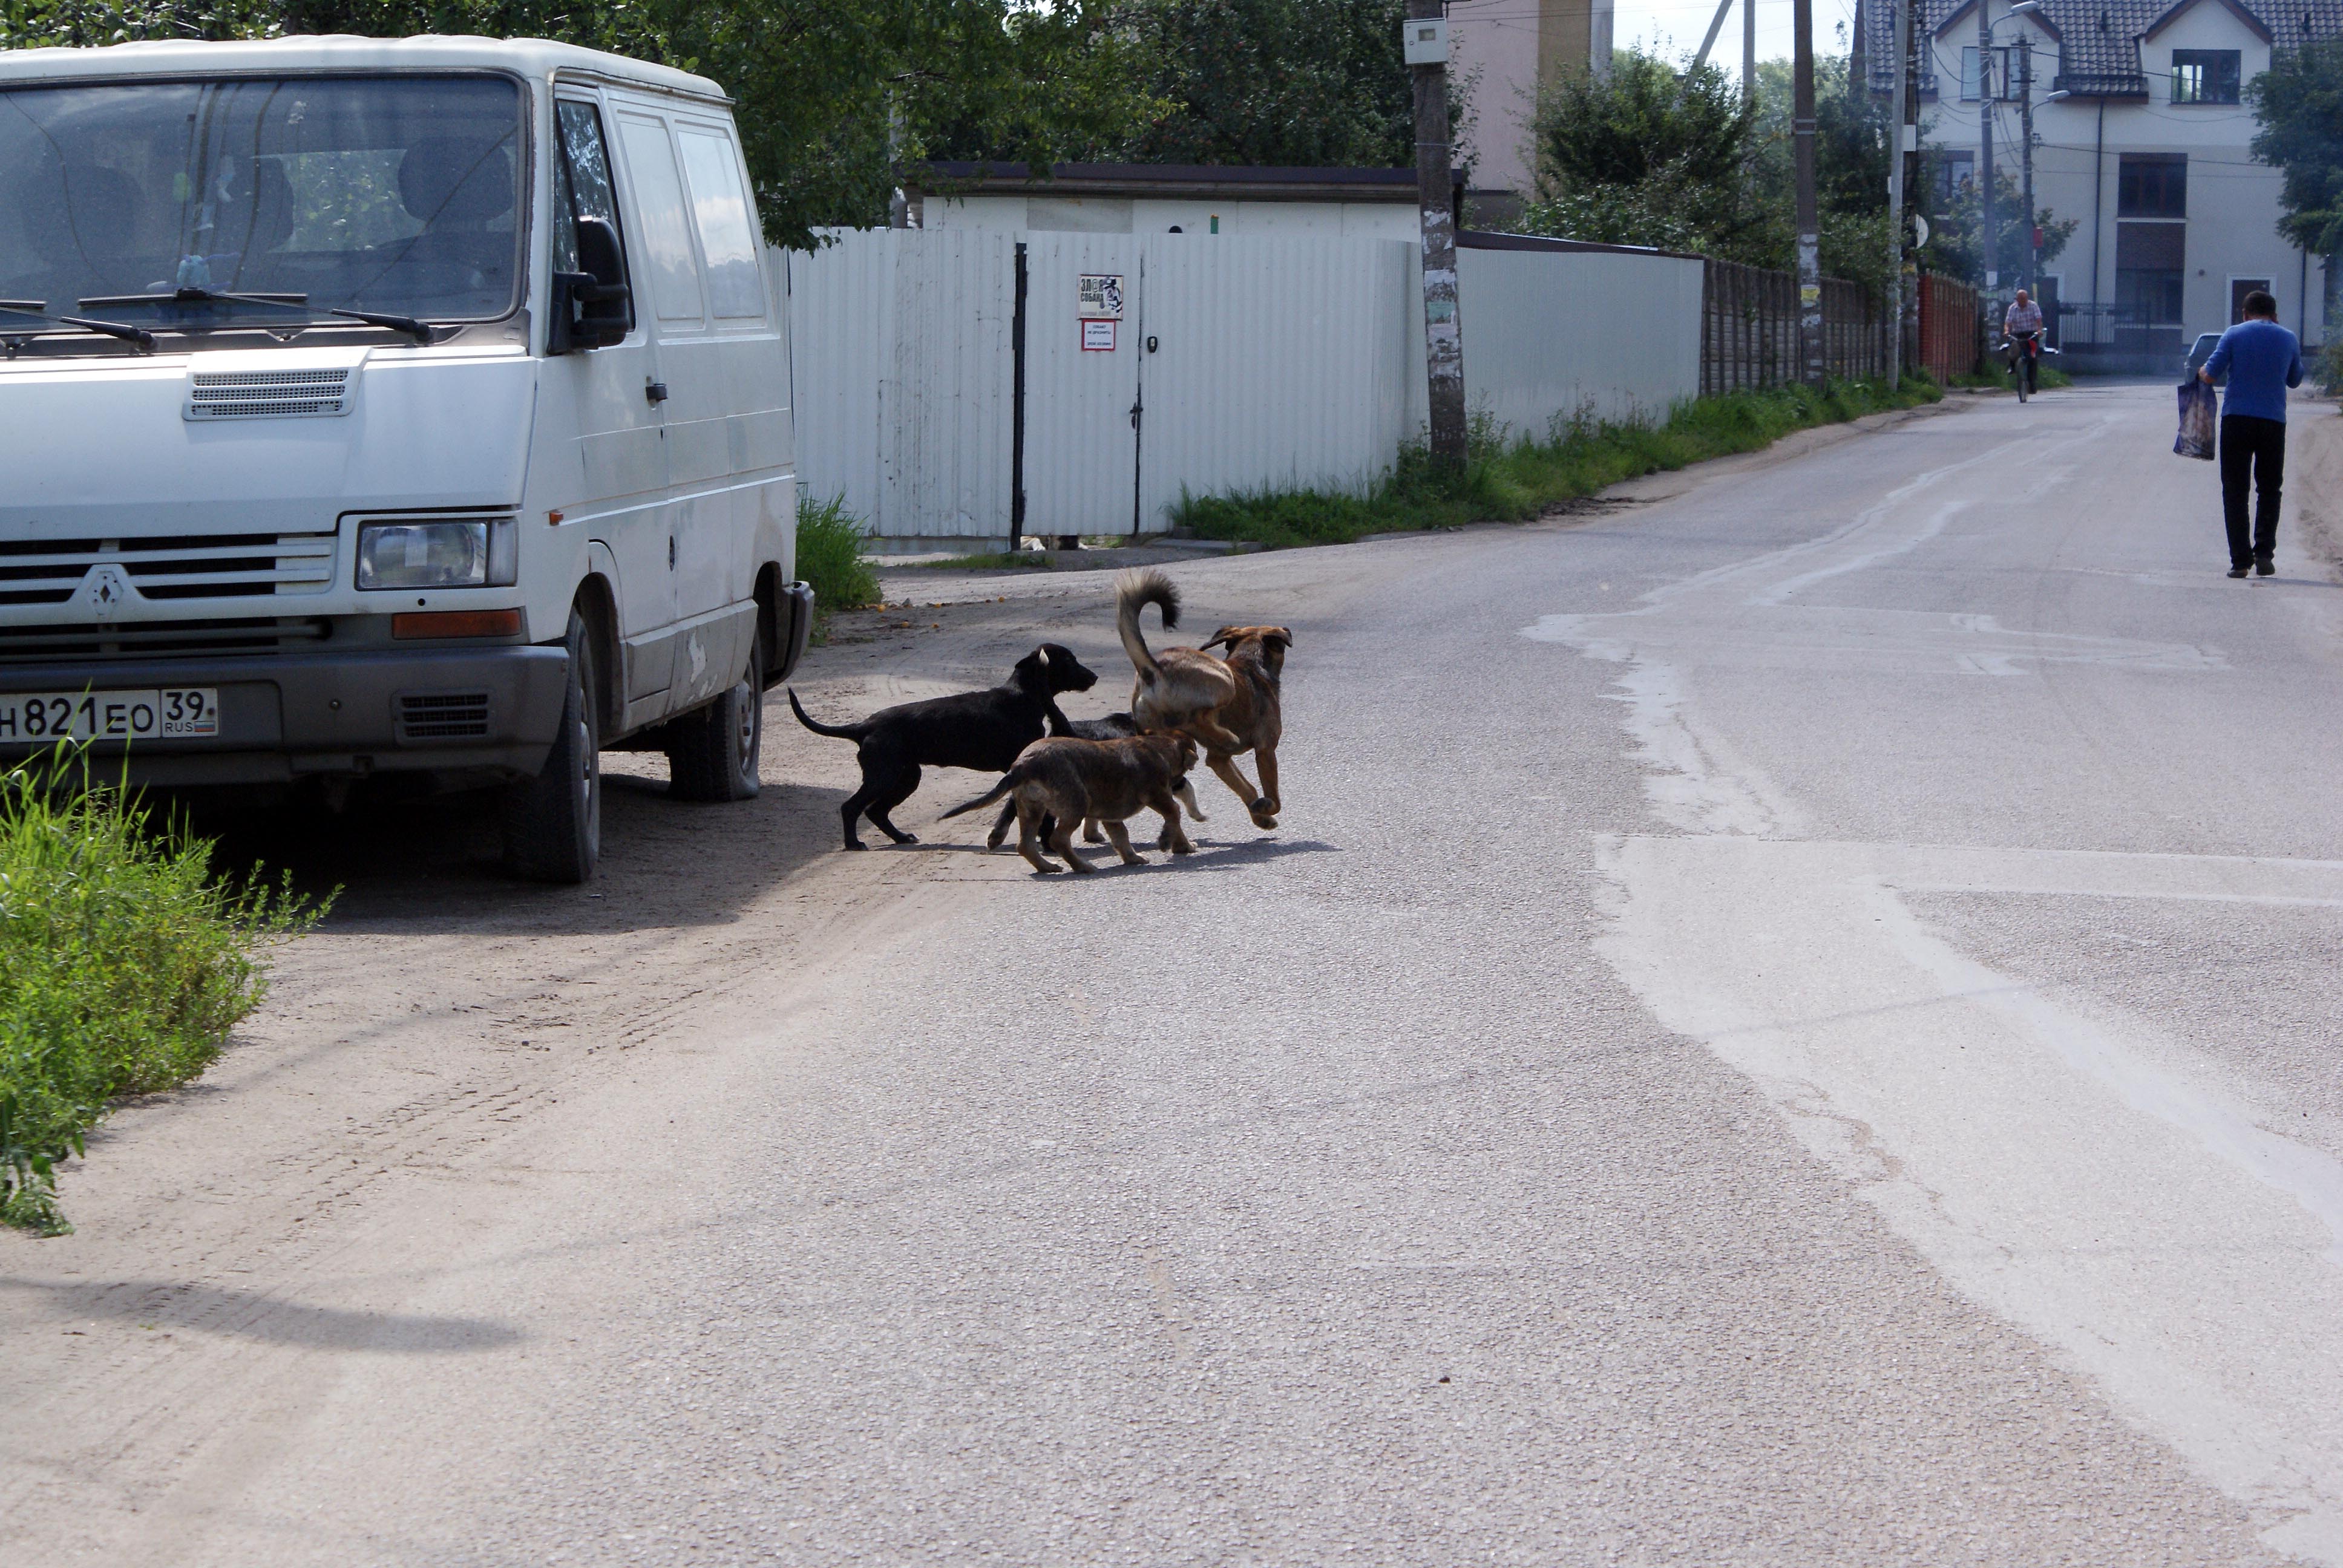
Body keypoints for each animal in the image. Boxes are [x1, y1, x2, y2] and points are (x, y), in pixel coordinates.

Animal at [787, 647, 1096, 848]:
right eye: (1069, 660)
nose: (1094, 677)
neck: (1023, 696)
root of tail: (864, 726)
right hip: (883, 776)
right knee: (851, 807)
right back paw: (854, 844)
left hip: (907, 777)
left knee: (877, 811)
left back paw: (901, 838)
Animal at [937, 731, 1199, 877]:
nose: (1182, 784)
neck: (1160, 748)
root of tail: (1023, 765)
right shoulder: (1159, 796)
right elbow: (1174, 815)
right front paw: (1173, 843)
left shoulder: (1112, 817)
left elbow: (1122, 838)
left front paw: (1134, 858)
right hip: (1076, 804)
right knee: (1058, 839)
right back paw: (1082, 866)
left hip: (1032, 809)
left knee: (1025, 845)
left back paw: (1048, 867)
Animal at [1110, 564, 1293, 829]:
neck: (1249, 660)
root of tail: (1154, 669)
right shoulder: (1266, 750)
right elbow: (1274, 798)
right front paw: (1266, 809)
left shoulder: (1219, 761)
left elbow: (1246, 789)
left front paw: (1260, 816)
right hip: (1225, 681)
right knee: (1199, 717)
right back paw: (1226, 735)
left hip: (1155, 728)